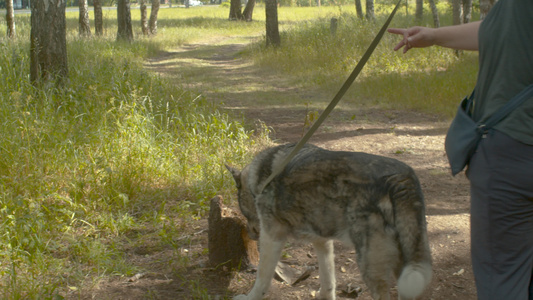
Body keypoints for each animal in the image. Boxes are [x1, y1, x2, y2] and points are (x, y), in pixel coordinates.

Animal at [227, 144, 430, 300]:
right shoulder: (322, 242)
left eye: (244, 211)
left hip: (372, 268)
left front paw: (250, 297)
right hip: (405, 268)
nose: (250, 232)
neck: (261, 180)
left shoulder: (271, 238)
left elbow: (262, 278)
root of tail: (400, 178)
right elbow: (328, 279)